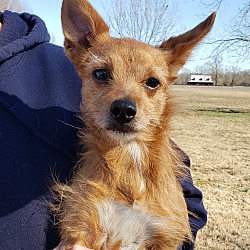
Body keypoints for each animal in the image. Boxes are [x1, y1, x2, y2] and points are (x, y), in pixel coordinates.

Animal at [53, 0, 216, 249]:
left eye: (153, 82)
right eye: (101, 73)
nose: (123, 109)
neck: (129, 157)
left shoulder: (166, 236)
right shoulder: (80, 228)